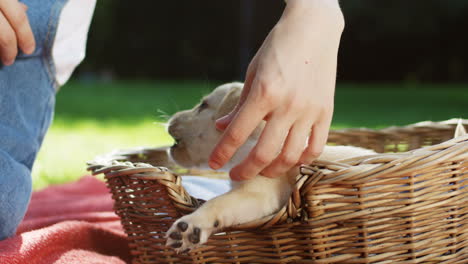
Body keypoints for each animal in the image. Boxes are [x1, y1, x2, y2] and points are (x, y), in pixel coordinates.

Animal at [166, 82, 374, 252]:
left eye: (203, 105)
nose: (170, 118)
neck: (252, 143)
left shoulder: (259, 195)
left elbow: (217, 202)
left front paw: (191, 226)